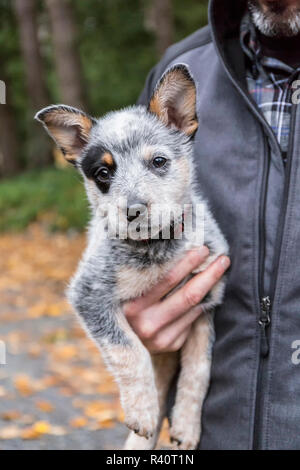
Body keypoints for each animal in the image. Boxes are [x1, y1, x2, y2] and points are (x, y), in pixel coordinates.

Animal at [35, 64, 229, 450]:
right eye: (103, 172)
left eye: (158, 161)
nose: (134, 210)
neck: (157, 248)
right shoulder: (90, 297)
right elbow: (129, 350)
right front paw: (142, 411)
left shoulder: (205, 303)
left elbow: (199, 369)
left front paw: (187, 426)